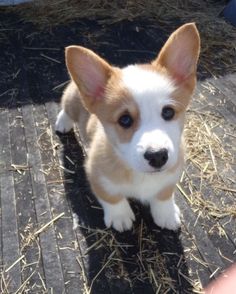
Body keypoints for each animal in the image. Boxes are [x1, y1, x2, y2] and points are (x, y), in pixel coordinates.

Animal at [55, 23, 199, 232]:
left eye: (168, 112)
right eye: (124, 120)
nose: (158, 156)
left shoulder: (172, 174)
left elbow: (163, 195)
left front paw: (166, 214)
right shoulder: (96, 175)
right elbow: (112, 198)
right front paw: (120, 217)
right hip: (72, 101)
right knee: (65, 107)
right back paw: (62, 123)